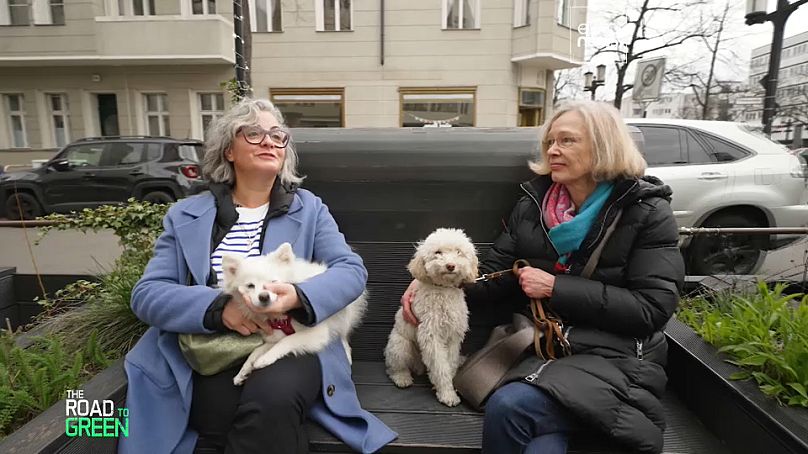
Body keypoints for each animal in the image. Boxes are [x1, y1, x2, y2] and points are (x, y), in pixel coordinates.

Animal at [221, 243, 366, 384]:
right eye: (250, 286)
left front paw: (265, 358)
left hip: (345, 316)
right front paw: (243, 370)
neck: (281, 316)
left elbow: (287, 341)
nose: (264, 296)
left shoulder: (317, 334)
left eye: (273, 282)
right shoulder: (277, 335)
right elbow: (257, 350)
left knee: (343, 334)